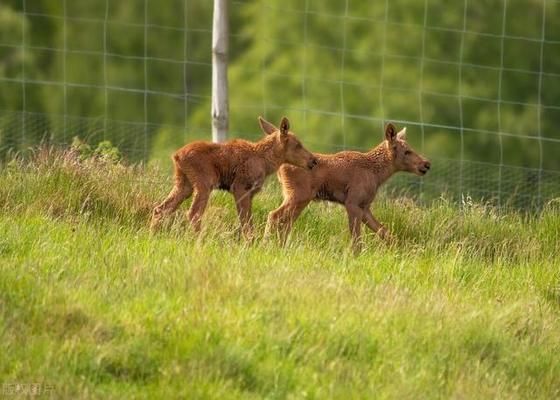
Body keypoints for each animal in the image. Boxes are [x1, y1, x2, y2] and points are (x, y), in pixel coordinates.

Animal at [151, 115, 318, 238]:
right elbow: (246, 223)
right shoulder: (239, 187)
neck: (266, 163)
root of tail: (176, 156)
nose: (313, 161)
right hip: (204, 183)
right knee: (193, 214)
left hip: (184, 184)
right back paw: (200, 241)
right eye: (298, 145)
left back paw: (153, 236)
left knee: (161, 209)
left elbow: (247, 222)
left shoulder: (250, 193)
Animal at [264, 123, 430, 248]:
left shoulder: (365, 206)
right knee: (274, 216)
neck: (376, 174)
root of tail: (281, 166)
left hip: (297, 197)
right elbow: (357, 241)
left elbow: (385, 233)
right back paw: (265, 245)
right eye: (407, 151)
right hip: (299, 194)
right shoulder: (352, 202)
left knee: (285, 223)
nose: (426, 164)